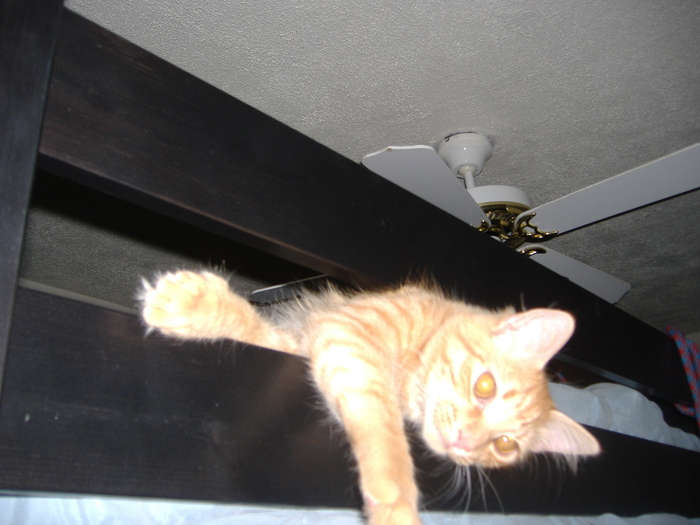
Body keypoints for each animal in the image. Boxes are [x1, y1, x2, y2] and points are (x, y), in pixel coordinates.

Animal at [139, 270, 600, 524]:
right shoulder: (346, 333)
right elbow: (384, 431)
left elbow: (267, 337)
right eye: (484, 386)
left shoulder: (316, 344)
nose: (464, 442)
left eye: (504, 446)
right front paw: (397, 505)